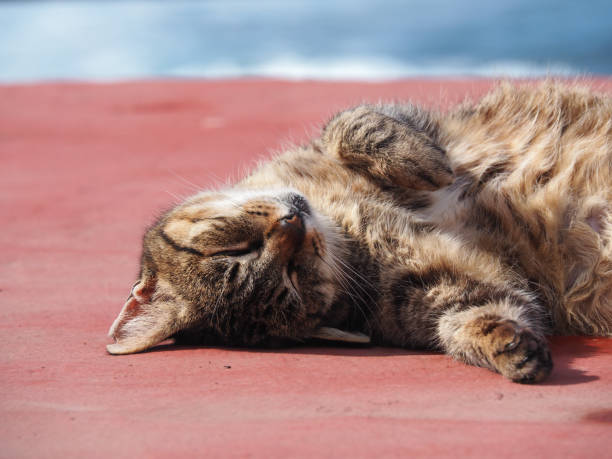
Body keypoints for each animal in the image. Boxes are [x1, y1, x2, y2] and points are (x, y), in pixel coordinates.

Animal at [109, 82, 612, 384]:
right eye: (294, 276)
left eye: (233, 247)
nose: (293, 222)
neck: (344, 224)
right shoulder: (444, 289)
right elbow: (469, 320)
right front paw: (508, 348)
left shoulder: (403, 123)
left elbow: (352, 124)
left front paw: (421, 160)